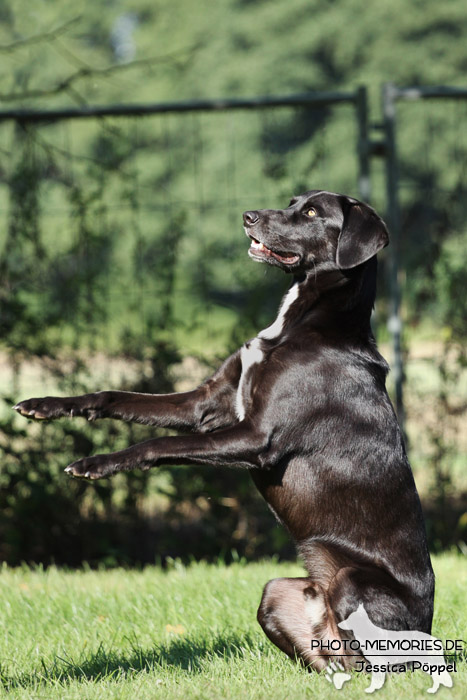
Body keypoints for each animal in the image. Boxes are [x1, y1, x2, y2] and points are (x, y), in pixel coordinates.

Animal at [13, 191, 436, 672]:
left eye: (311, 212)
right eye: (292, 200)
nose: (248, 216)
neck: (305, 322)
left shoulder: (255, 438)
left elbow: (159, 443)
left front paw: (95, 464)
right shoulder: (204, 404)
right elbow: (114, 396)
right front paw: (43, 405)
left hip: (352, 582)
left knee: (366, 659)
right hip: (277, 593)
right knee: (328, 651)